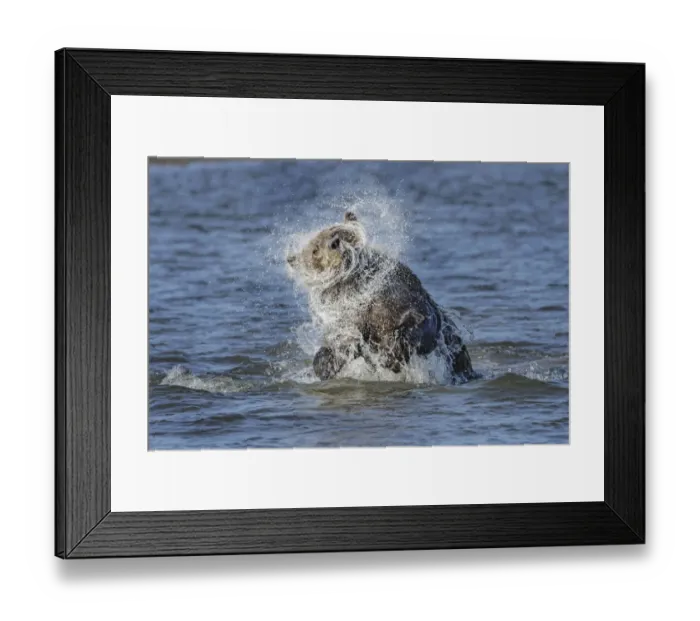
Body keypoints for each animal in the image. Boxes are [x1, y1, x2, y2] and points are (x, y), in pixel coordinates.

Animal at [286, 211, 476, 382]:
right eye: (315, 250)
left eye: (339, 232)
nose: (334, 244)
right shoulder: (347, 317)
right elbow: (338, 343)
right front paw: (325, 365)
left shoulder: (396, 295)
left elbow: (418, 321)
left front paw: (392, 352)